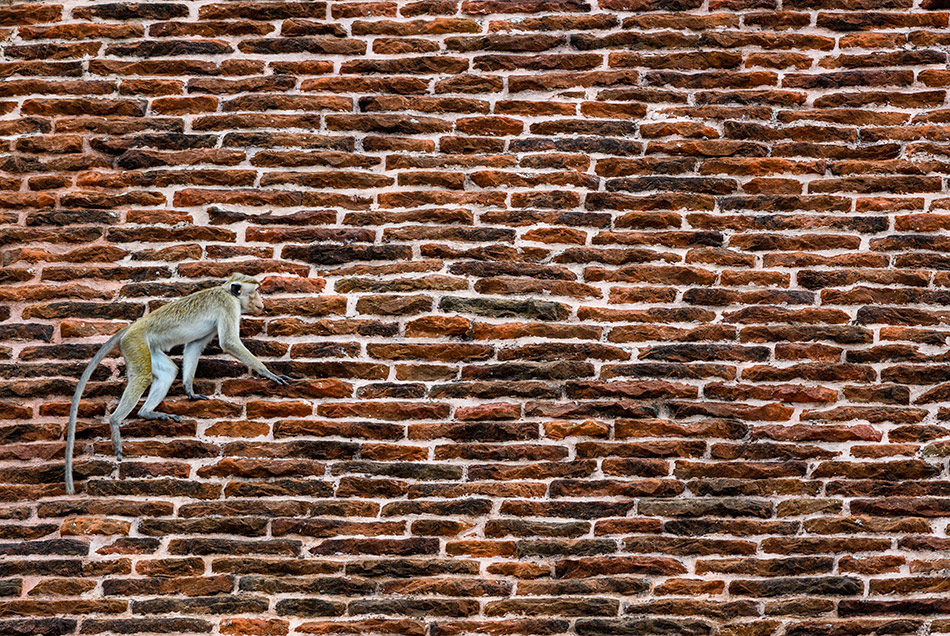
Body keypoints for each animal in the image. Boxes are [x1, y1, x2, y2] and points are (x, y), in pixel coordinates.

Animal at [66, 270, 290, 494]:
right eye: (256, 291)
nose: (262, 302)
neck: (227, 291)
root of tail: (132, 327)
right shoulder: (228, 306)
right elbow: (229, 343)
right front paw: (269, 373)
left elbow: (194, 345)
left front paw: (189, 390)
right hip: (135, 343)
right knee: (143, 376)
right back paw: (115, 421)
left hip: (146, 347)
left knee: (168, 372)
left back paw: (147, 412)